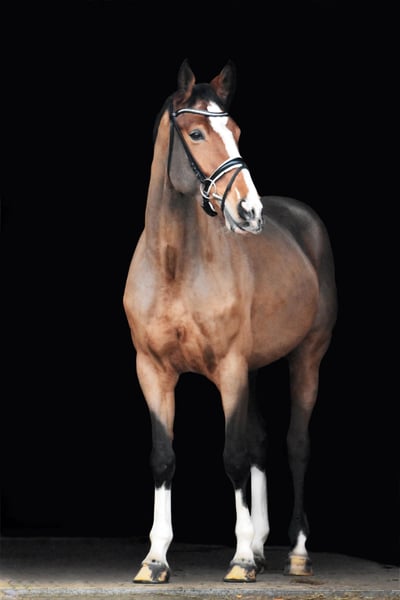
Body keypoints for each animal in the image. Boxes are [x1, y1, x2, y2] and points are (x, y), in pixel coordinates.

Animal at [123, 59, 337, 584]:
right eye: (197, 133)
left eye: (236, 131)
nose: (249, 211)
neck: (175, 266)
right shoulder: (153, 371)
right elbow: (164, 458)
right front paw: (155, 559)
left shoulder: (231, 369)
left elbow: (235, 456)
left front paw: (239, 559)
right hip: (257, 367)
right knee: (261, 442)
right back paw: (260, 547)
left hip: (307, 357)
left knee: (295, 445)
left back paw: (295, 552)